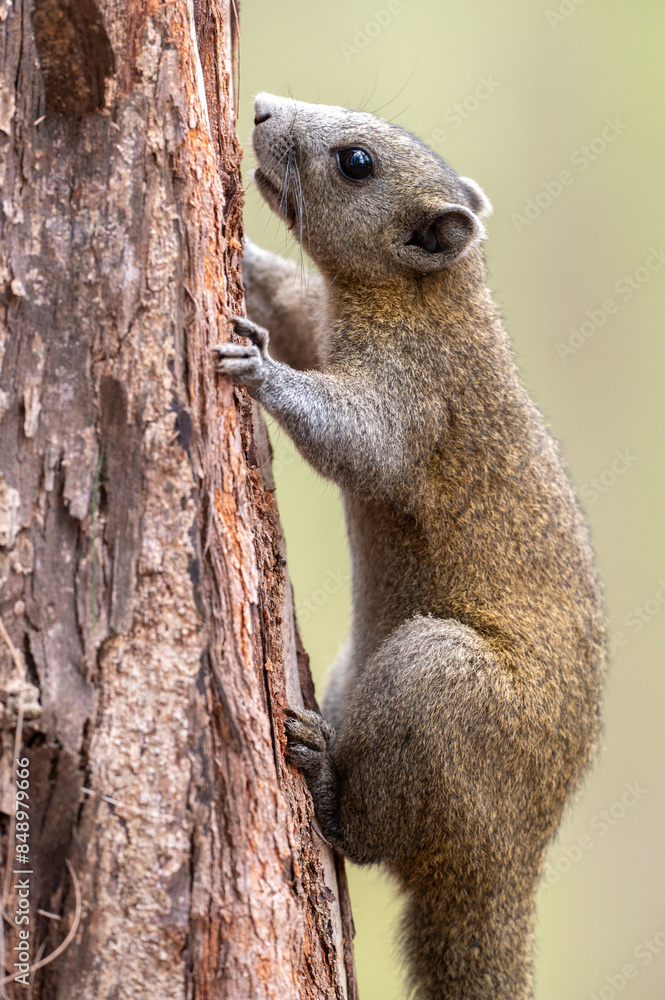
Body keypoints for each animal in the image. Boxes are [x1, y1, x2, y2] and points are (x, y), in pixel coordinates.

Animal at [213, 93, 606, 1000]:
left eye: (355, 162)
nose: (262, 109)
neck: (432, 299)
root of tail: (507, 867)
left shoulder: (413, 397)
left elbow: (355, 442)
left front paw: (255, 369)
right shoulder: (317, 318)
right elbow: (287, 295)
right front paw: (241, 253)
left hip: (434, 680)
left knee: (368, 839)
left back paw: (325, 779)